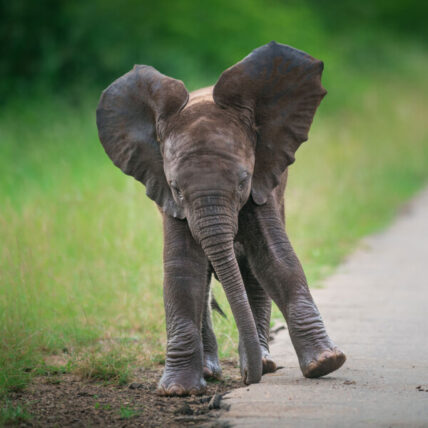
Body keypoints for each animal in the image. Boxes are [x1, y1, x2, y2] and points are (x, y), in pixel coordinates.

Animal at [96, 41, 344, 396]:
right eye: (176, 188)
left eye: (242, 181)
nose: (247, 378)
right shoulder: (167, 196)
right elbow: (183, 269)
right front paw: (178, 390)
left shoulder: (262, 182)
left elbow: (275, 258)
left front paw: (326, 364)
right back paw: (211, 371)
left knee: (251, 272)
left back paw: (263, 362)